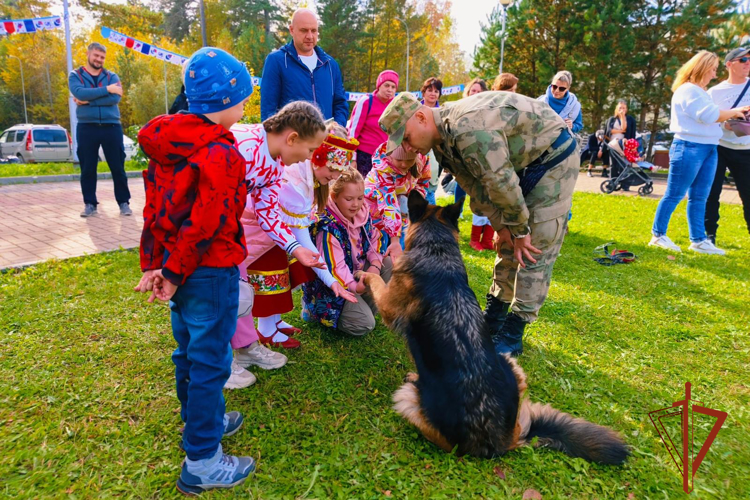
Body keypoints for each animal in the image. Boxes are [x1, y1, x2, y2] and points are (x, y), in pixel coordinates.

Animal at [362, 192, 632, 464]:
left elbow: (375, 280)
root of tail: (502, 441)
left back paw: (415, 378)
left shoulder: (388, 305)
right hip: (510, 362)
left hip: (405, 399)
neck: (437, 250)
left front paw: (365, 273)